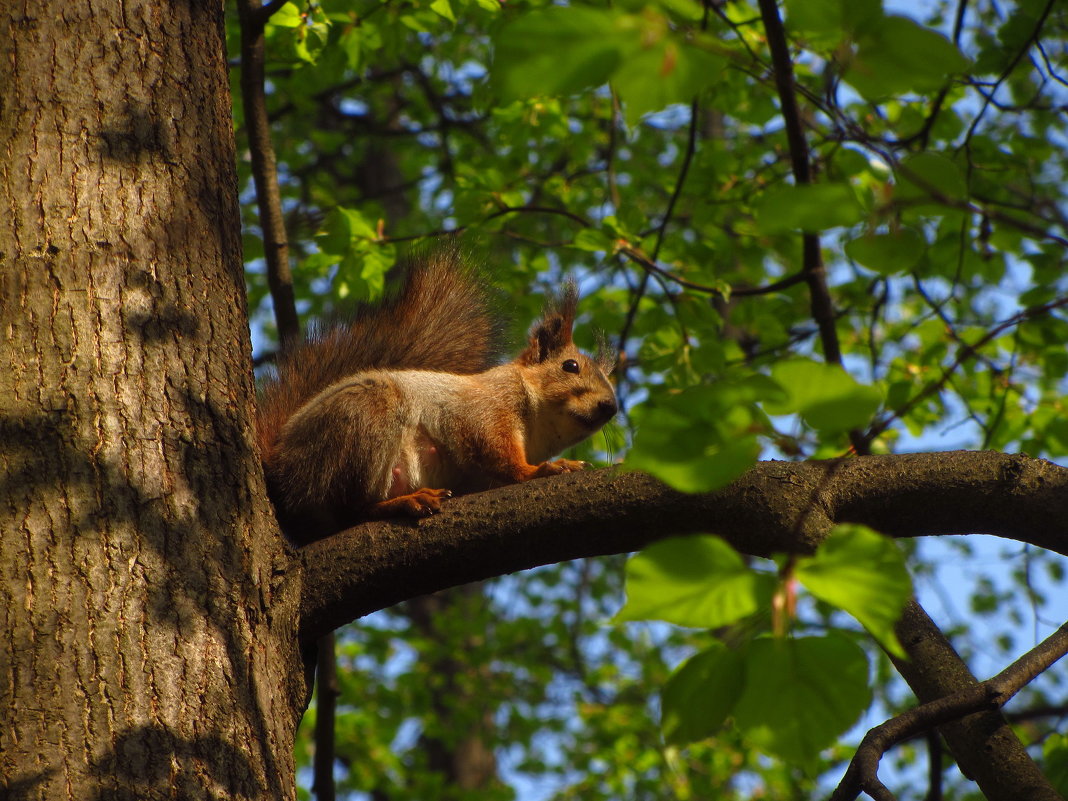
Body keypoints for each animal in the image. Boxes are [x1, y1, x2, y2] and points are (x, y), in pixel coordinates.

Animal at [255, 250, 619, 546]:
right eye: (570, 365)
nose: (611, 406)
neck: (540, 430)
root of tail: (281, 471)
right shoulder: (485, 410)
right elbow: (499, 455)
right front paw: (542, 470)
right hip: (364, 418)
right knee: (351, 511)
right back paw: (405, 501)